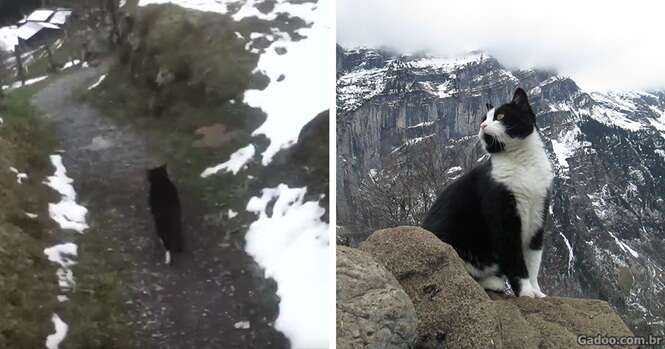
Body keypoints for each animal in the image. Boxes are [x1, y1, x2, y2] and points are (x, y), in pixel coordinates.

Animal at [420, 87, 556, 296]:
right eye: (484, 118)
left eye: (500, 116)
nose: (482, 124)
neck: (522, 163)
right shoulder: (503, 216)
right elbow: (515, 259)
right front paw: (526, 292)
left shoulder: (538, 214)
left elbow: (533, 260)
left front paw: (537, 292)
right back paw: (492, 282)